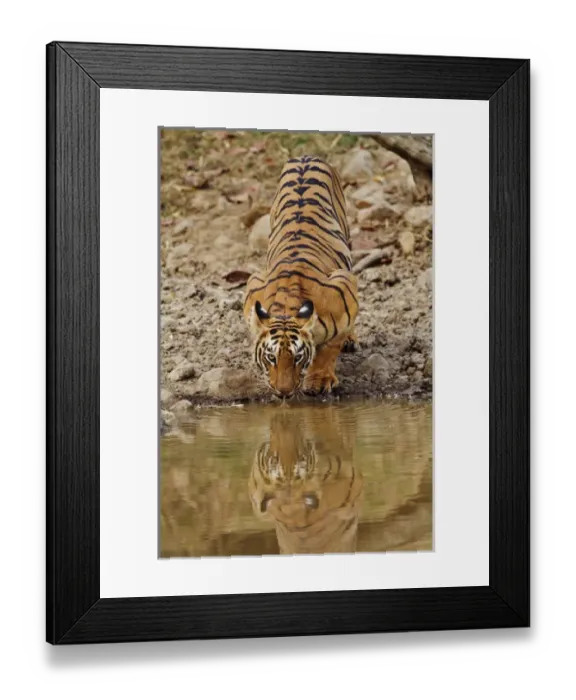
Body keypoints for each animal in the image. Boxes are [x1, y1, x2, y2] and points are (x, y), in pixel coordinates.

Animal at [243, 155, 359, 398]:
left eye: (297, 357)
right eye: (271, 357)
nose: (283, 392)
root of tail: (305, 156)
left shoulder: (345, 285)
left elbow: (330, 347)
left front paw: (319, 380)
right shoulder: (253, 286)